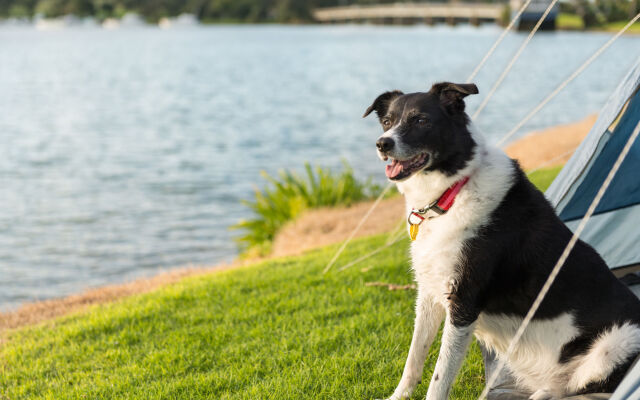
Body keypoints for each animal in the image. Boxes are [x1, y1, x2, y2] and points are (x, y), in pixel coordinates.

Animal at [364, 83, 640, 398]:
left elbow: (439, 377)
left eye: (421, 120)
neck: (453, 190)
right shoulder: (429, 294)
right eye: (387, 122)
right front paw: (399, 395)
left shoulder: (464, 302)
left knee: (577, 389)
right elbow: (414, 357)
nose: (382, 144)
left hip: (616, 344)